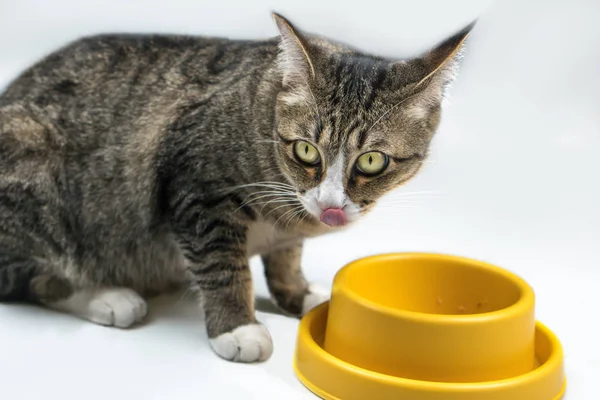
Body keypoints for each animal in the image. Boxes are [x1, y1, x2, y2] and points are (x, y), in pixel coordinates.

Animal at [0, 13, 474, 362]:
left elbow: (286, 256)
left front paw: (298, 293)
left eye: (372, 161)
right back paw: (106, 295)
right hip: (31, 157)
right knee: (33, 275)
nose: (331, 206)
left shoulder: (292, 222)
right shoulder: (196, 188)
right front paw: (237, 326)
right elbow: (222, 263)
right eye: (306, 150)